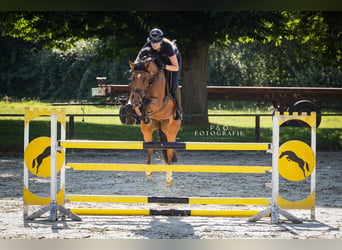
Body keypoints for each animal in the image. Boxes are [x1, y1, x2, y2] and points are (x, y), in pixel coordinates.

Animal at [125, 56, 182, 186]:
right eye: (132, 78)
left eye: (145, 78)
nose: (136, 101)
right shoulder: (133, 96)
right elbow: (131, 106)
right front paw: (133, 114)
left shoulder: (158, 103)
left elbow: (147, 102)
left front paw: (142, 110)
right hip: (147, 131)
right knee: (150, 147)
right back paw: (149, 172)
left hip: (171, 131)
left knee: (170, 152)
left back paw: (168, 178)